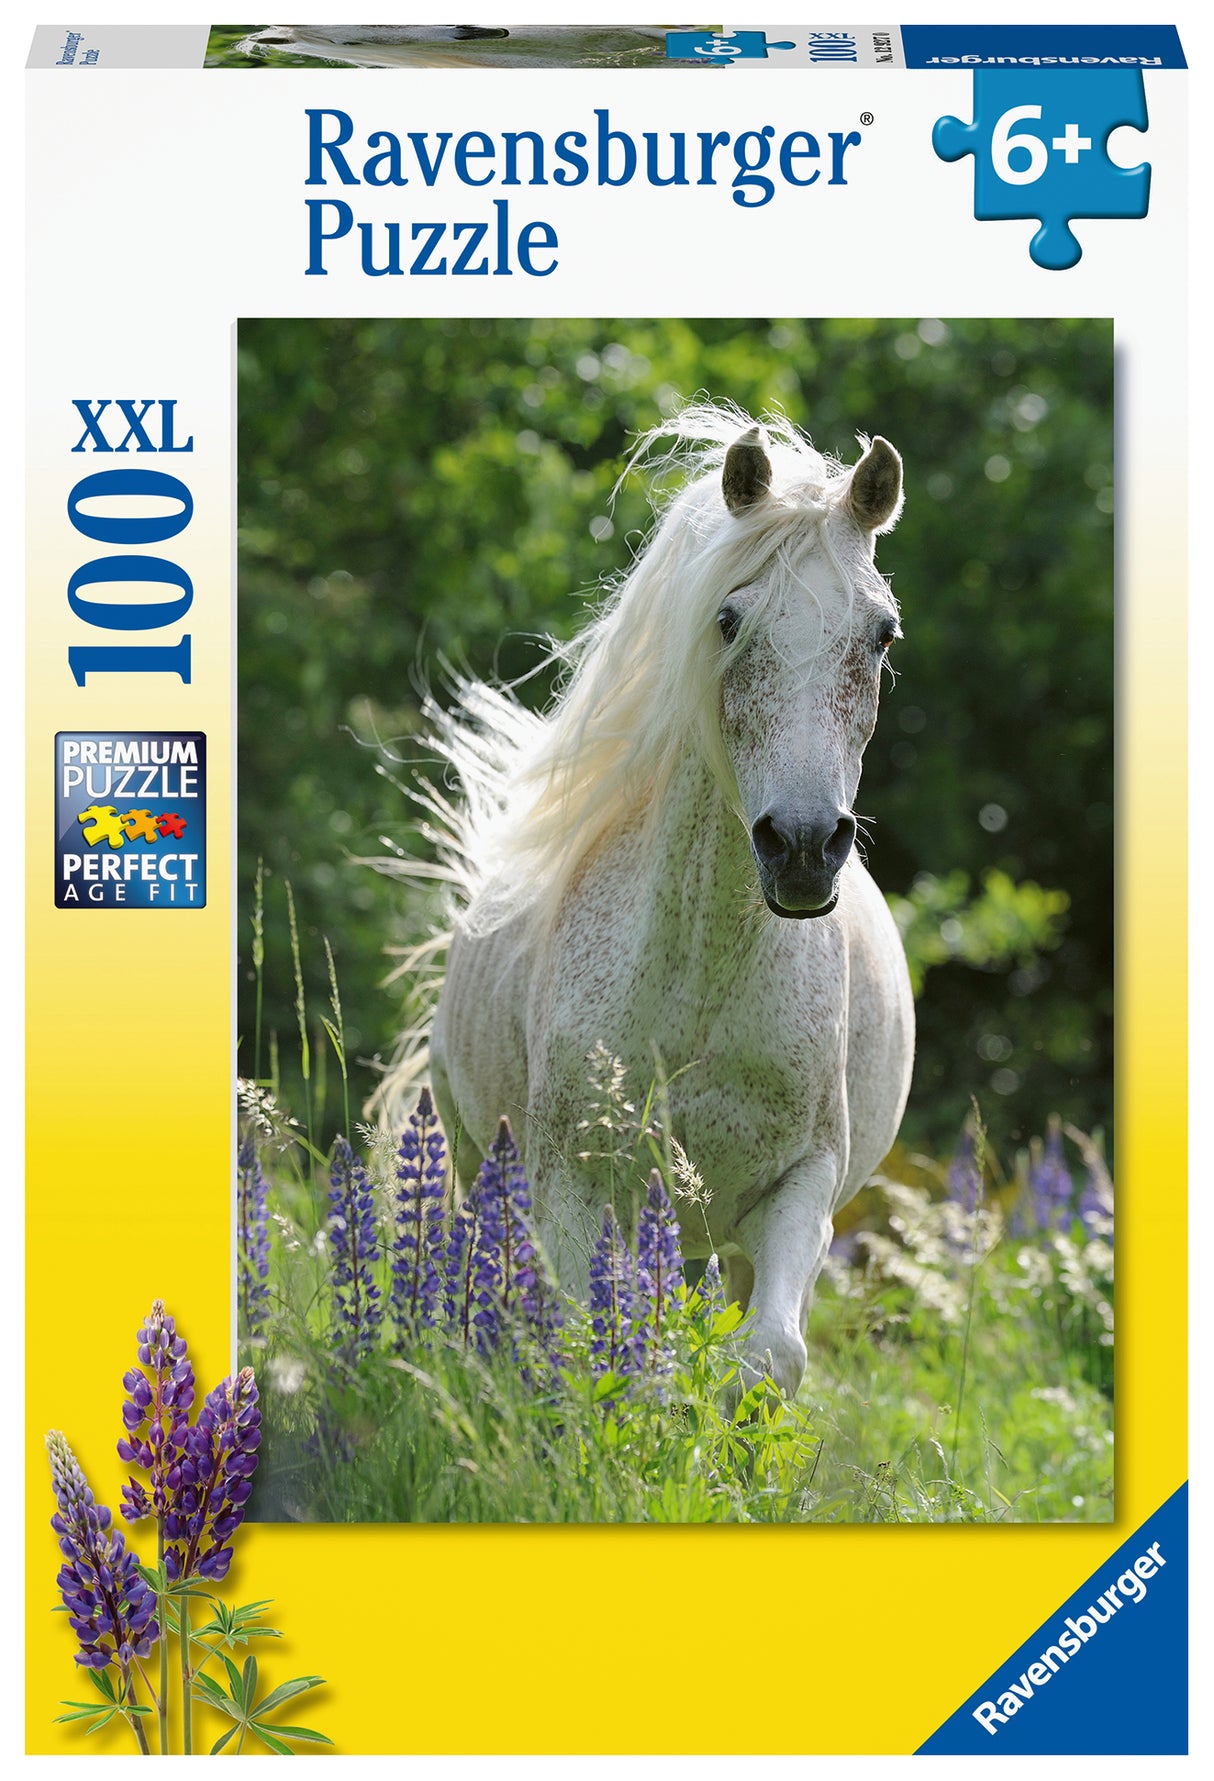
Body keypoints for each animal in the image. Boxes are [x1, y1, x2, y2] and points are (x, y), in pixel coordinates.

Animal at [404, 404, 914, 1398]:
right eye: (728, 618)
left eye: (879, 634)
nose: (802, 848)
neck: (701, 977)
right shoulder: (568, 1188)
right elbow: (592, 1352)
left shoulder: (801, 1187)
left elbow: (769, 1356)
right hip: (475, 1157)